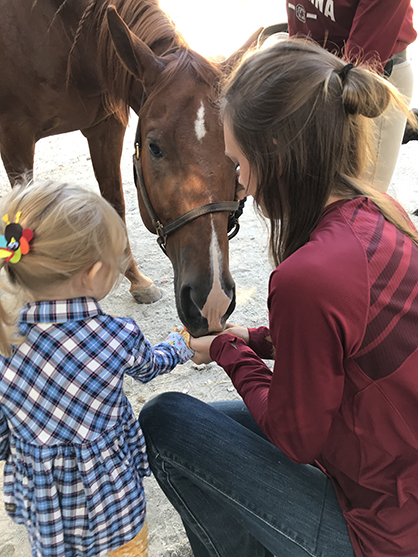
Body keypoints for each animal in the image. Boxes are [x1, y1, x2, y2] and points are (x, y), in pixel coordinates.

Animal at [0, 1, 262, 334]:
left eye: (234, 155)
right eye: (154, 147)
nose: (212, 299)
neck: (63, 34)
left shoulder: (106, 125)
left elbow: (115, 204)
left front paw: (136, 280)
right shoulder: (15, 137)